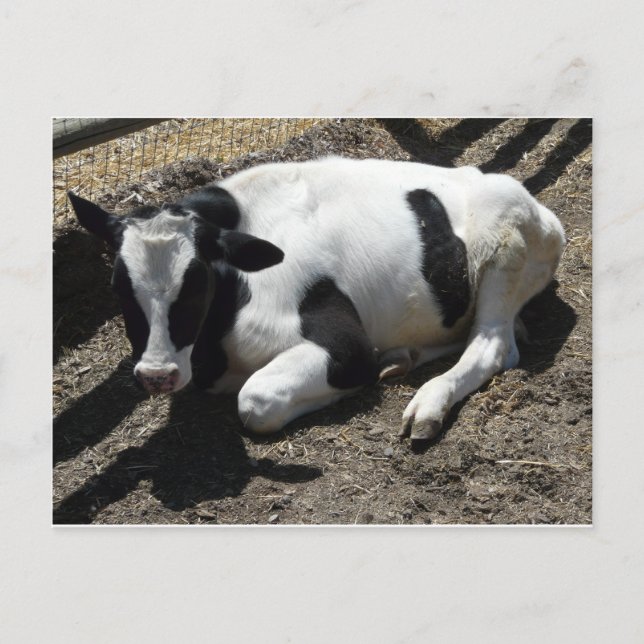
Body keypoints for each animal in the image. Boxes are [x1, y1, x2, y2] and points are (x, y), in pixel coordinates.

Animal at [68, 156, 565, 444]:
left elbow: (256, 400)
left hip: (506, 250)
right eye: (118, 287)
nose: (157, 376)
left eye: (197, 282)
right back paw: (400, 358)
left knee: (493, 345)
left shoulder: (345, 343)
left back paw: (428, 402)